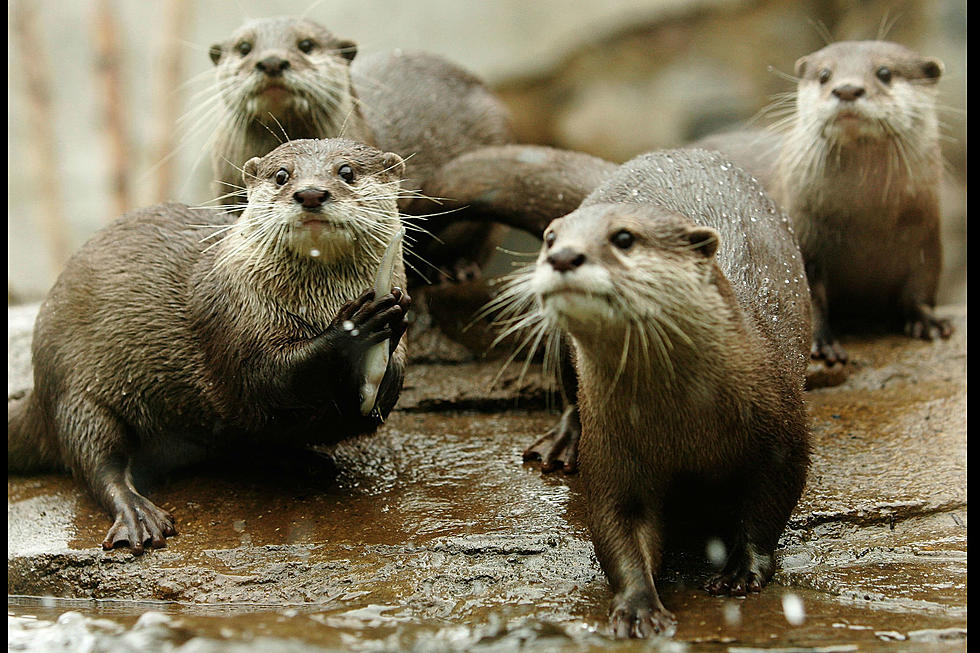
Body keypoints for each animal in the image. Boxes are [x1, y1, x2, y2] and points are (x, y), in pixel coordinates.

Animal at [5, 138, 410, 552]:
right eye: (282, 175)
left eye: (347, 171)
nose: (310, 193)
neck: (312, 305)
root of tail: (37, 391)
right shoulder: (233, 322)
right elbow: (266, 380)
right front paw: (354, 326)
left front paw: (393, 328)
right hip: (76, 394)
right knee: (97, 462)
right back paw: (137, 515)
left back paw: (304, 461)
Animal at [494, 148, 808, 636]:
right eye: (549, 238)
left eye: (624, 237)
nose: (562, 255)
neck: (688, 423)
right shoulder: (612, 452)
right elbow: (617, 526)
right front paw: (639, 604)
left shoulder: (784, 432)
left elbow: (768, 507)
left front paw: (741, 570)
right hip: (566, 363)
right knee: (569, 395)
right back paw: (561, 444)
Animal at [692, 42, 952, 362]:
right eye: (825, 74)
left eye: (885, 73)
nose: (848, 89)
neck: (867, 223)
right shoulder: (803, 235)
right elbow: (808, 295)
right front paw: (821, 342)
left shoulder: (925, 237)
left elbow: (922, 285)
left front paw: (929, 322)